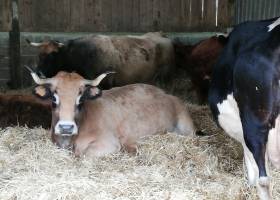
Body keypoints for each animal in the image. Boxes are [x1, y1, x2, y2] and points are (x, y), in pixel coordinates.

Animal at [27, 68, 196, 157]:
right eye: (53, 98)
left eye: (81, 99)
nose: (66, 127)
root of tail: (165, 93)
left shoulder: (109, 144)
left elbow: (83, 155)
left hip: (187, 127)